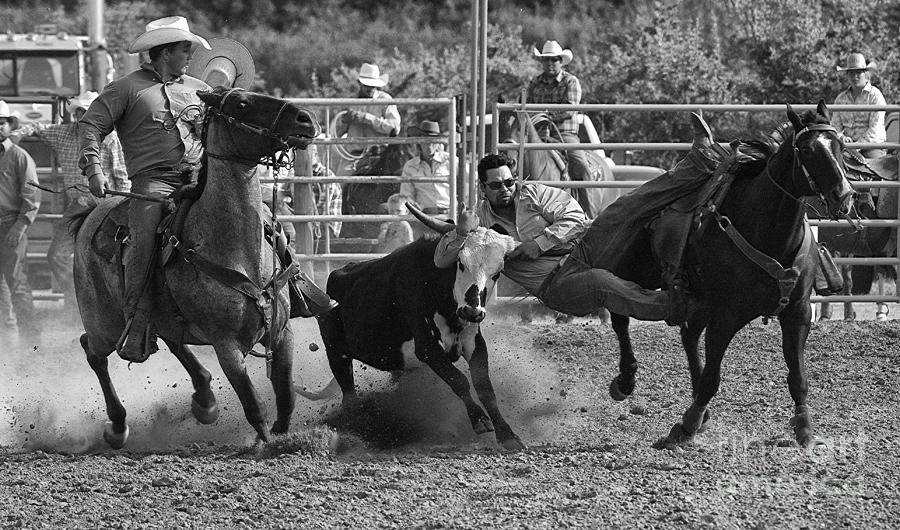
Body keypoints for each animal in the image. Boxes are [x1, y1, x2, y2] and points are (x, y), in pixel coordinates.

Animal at [72, 86, 322, 446]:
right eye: (241, 103)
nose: (305, 119)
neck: (237, 251)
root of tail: (90, 214)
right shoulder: (225, 345)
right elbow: (252, 403)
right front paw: (263, 443)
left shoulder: (282, 332)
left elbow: (286, 396)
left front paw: (283, 434)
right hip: (103, 322)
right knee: (93, 351)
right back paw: (118, 426)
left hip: (159, 318)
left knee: (173, 344)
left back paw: (204, 401)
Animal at [604, 102, 852, 446]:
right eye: (806, 149)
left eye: (840, 145)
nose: (844, 196)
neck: (767, 231)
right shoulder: (726, 314)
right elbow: (713, 376)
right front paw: (687, 424)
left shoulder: (798, 313)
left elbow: (798, 376)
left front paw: (805, 429)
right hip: (637, 271)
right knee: (620, 317)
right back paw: (626, 380)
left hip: (700, 300)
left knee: (688, 336)